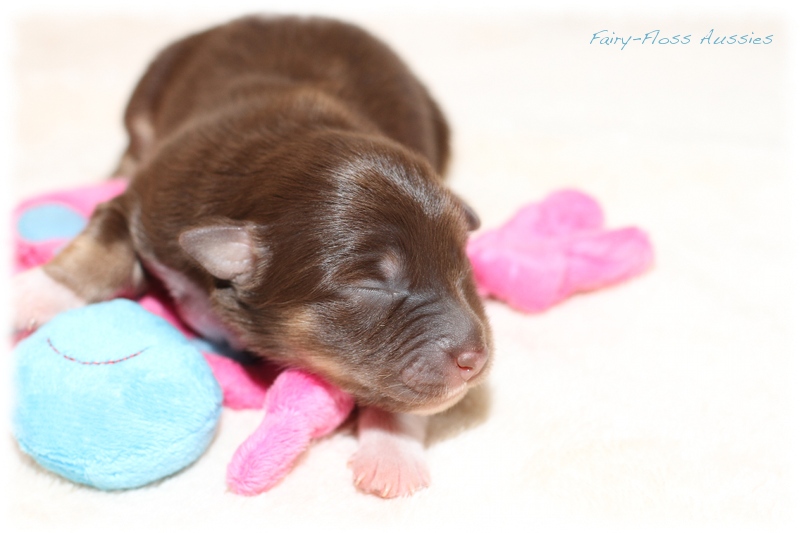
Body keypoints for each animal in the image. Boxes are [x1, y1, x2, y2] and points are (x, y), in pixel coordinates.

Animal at [12, 16, 490, 498]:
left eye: (461, 264)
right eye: (371, 284)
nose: (476, 358)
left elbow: (401, 394)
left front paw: (391, 452)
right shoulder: (148, 200)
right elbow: (101, 247)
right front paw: (35, 293)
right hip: (147, 94)